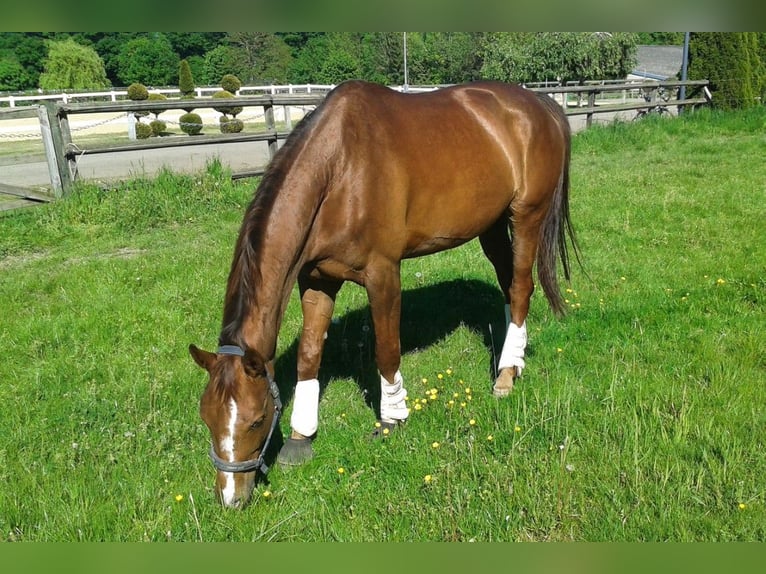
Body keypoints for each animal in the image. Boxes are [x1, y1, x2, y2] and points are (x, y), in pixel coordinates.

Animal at [189, 80, 580, 508]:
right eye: (206, 418)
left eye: (257, 419)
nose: (231, 497)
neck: (340, 170)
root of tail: (540, 104)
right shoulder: (316, 280)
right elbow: (310, 356)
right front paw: (300, 436)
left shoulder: (383, 274)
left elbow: (387, 351)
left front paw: (393, 418)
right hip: (491, 224)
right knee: (509, 285)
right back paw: (514, 359)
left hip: (526, 215)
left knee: (522, 286)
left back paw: (505, 377)